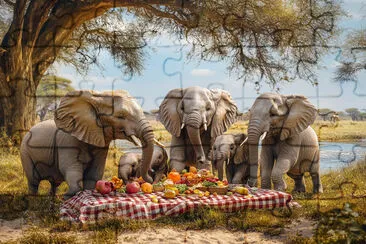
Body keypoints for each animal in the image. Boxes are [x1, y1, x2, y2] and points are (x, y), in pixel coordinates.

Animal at [19, 90, 158, 197]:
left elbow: (95, 171)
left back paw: (52, 196)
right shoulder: (67, 140)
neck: (96, 97)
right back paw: (33, 199)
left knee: (54, 182)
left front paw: (88, 192)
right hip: (25, 151)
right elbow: (70, 168)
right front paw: (70, 196)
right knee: (33, 180)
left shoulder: (102, 141)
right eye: (120, 116)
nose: (151, 179)